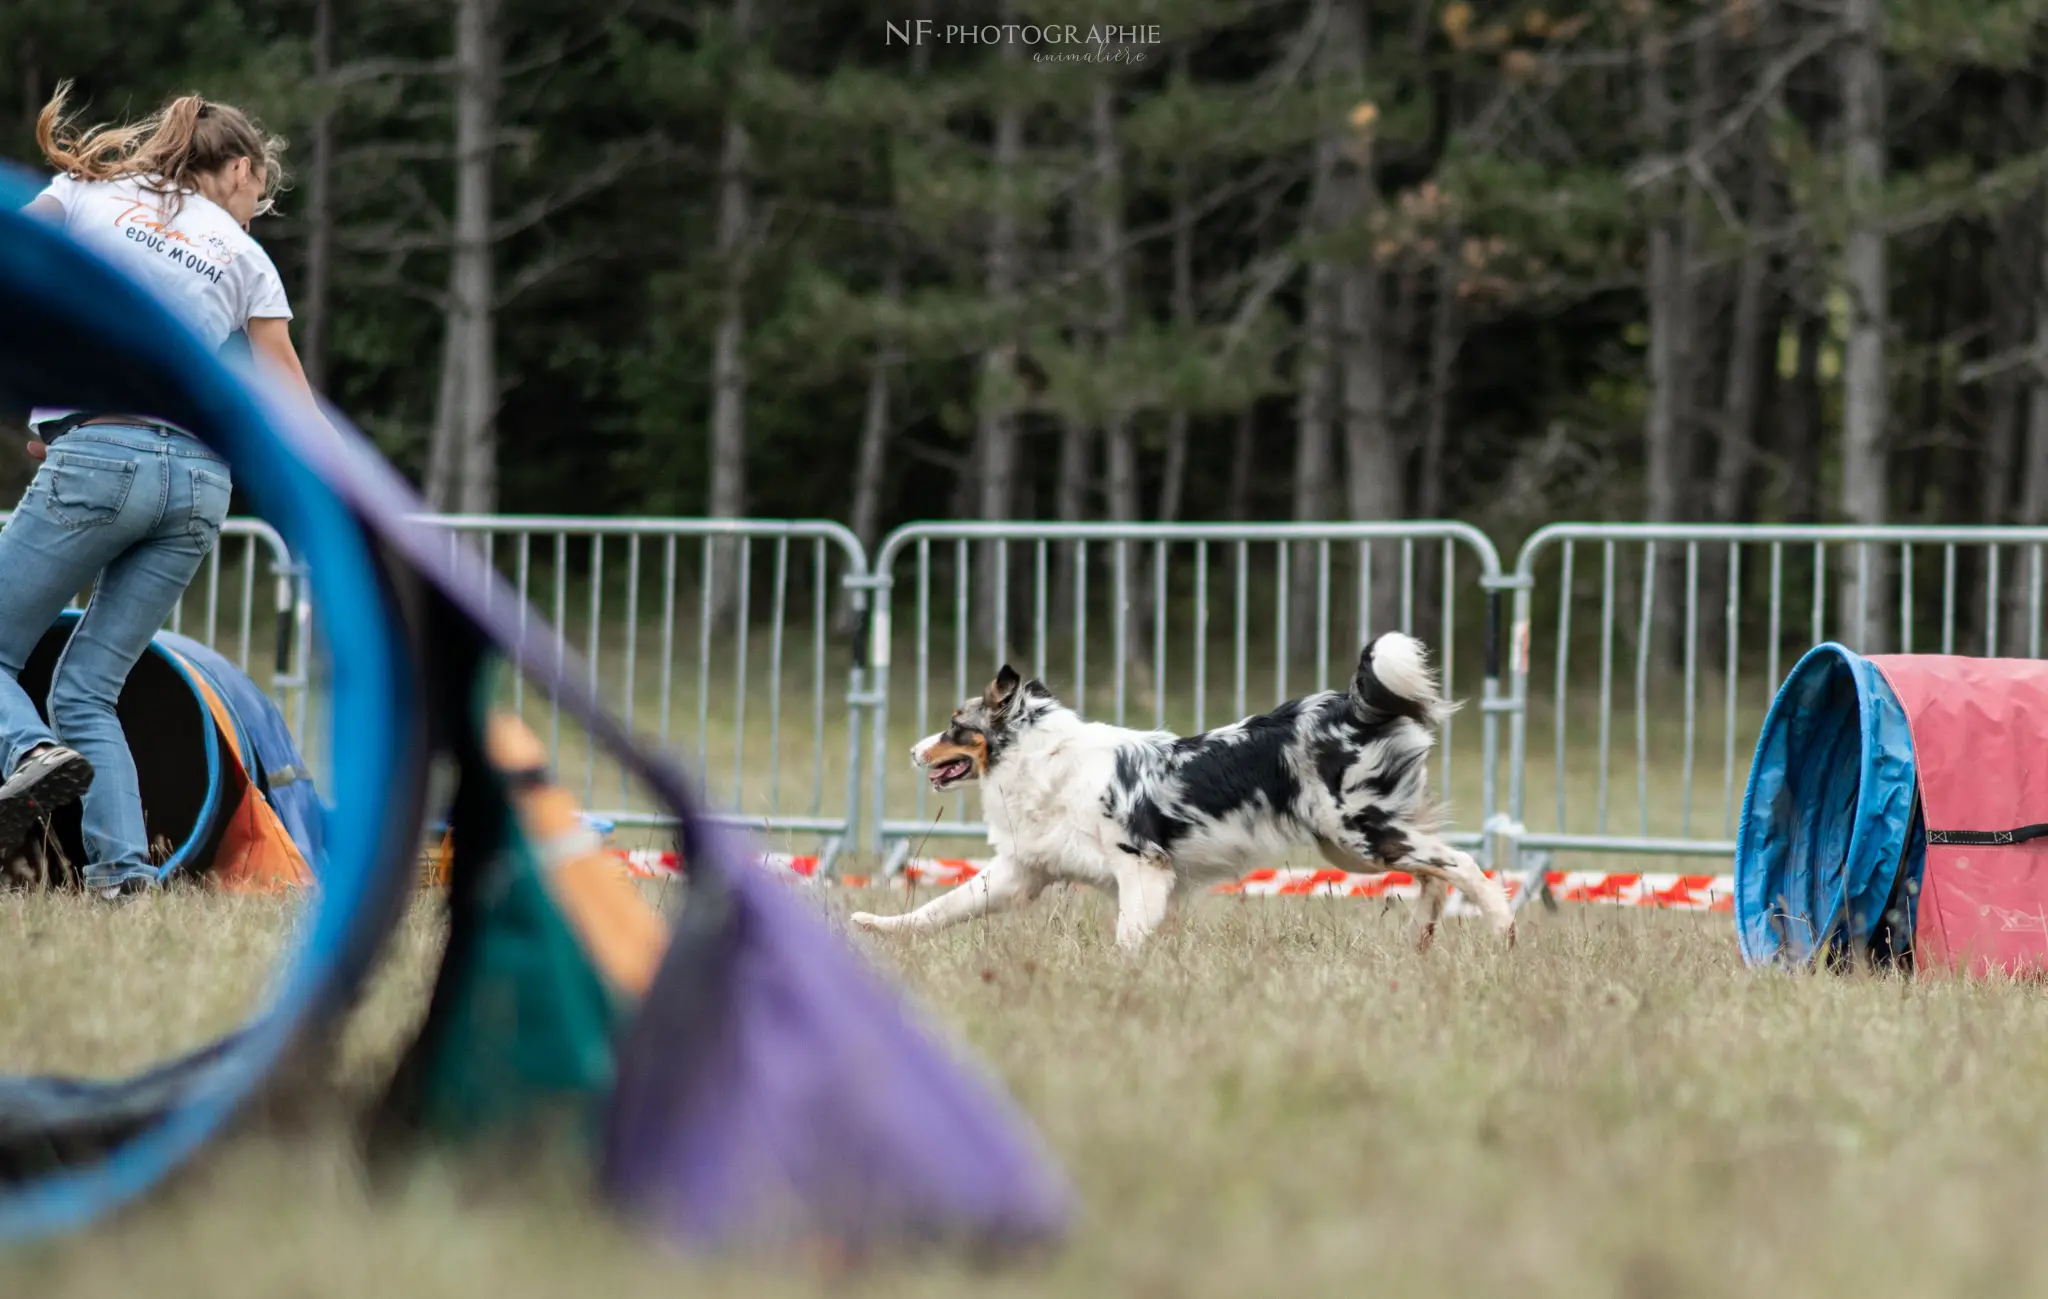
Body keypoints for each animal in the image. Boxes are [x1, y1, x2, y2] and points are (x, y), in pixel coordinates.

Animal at [843, 631, 1507, 946]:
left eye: (956, 727)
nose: (913, 751)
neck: (1040, 760)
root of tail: (1352, 704)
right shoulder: (1020, 872)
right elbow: (941, 907)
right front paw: (877, 927)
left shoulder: (1144, 868)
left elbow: (1127, 938)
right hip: (1350, 847)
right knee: (1433, 873)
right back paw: (1421, 937)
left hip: (1359, 833)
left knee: (1463, 864)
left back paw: (1503, 928)